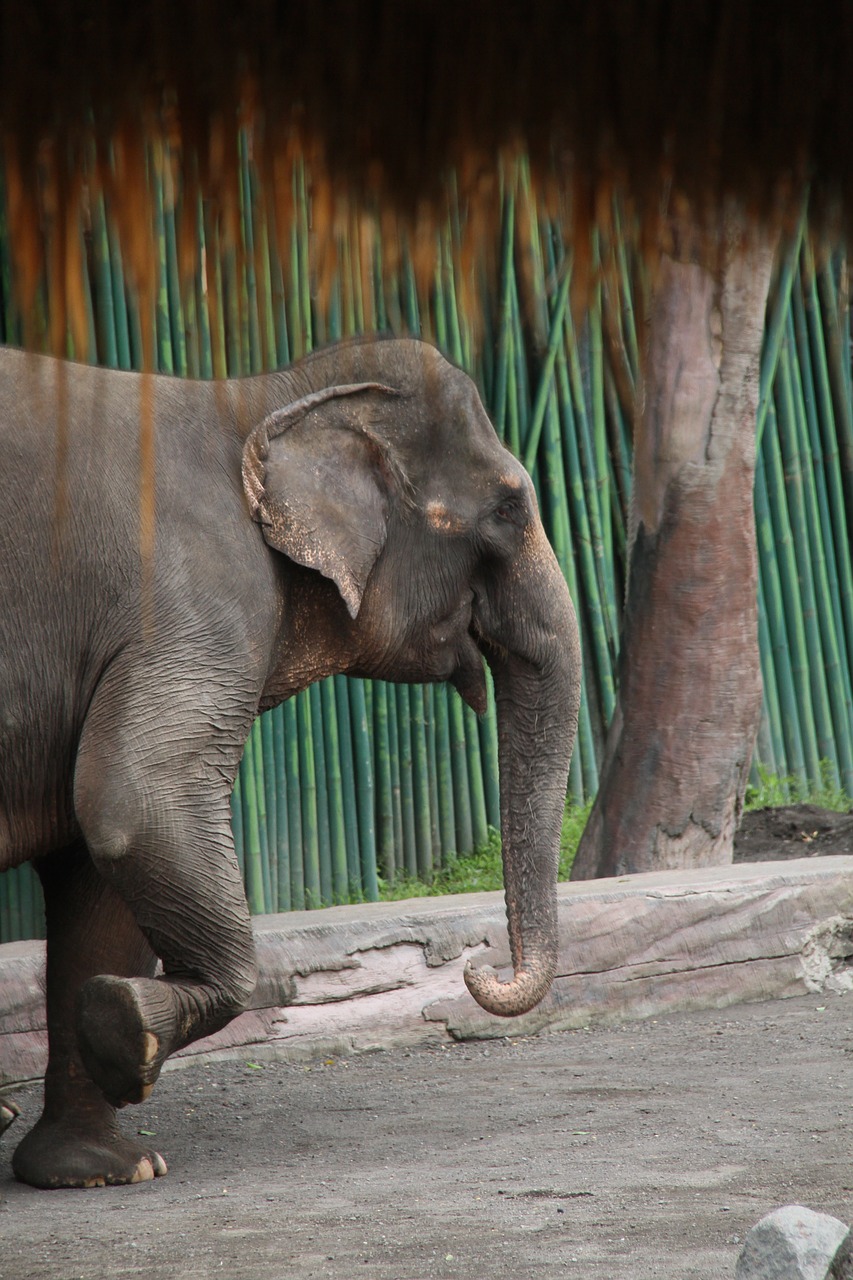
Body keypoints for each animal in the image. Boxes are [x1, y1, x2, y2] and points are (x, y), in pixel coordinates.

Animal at [0, 335, 578, 1182]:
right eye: (507, 510)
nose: (481, 967)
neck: (264, 396)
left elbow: (93, 857)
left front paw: (100, 1166)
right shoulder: (196, 596)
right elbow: (133, 799)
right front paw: (125, 1028)